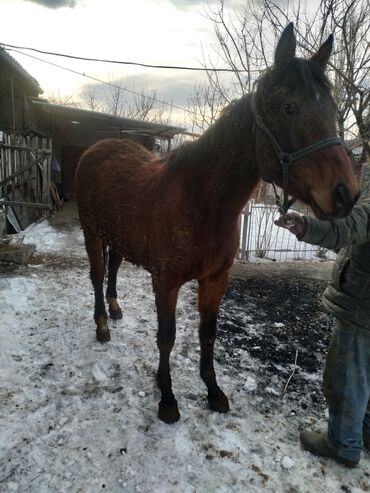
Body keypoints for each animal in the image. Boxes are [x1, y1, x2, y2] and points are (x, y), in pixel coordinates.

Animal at [76, 24, 360, 422]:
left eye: (332, 109)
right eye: (290, 107)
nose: (346, 193)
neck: (202, 204)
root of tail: (97, 148)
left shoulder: (215, 280)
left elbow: (208, 334)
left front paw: (213, 391)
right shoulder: (166, 283)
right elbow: (167, 337)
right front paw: (167, 399)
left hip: (118, 237)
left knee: (113, 269)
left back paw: (115, 310)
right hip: (91, 233)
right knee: (98, 275)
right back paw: (102, 325)